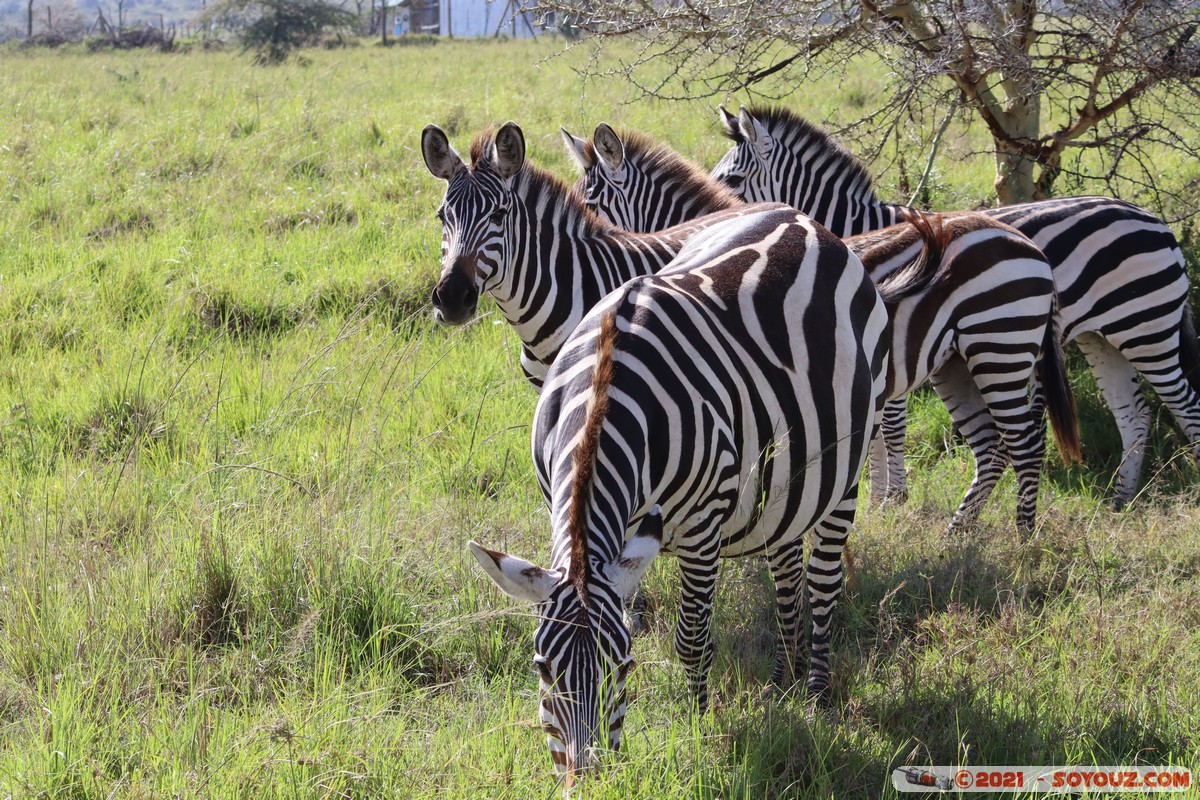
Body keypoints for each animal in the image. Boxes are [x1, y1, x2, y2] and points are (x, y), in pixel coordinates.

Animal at [468, 200, 902, 782]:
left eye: (624, 667)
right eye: (542, 667)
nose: (587, 778)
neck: (605, 388)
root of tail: (802, 218)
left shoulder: (702, 526)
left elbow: (692, 640)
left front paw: (699, 731)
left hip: (847, 467)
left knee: (822, 581)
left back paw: (814, 694)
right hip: (784, 479)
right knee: (787, 569)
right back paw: (783, 681)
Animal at [561, 125, 1080, 532]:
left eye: (591, 202)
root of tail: (1028, 245)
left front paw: (884, 503)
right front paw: (882, 503)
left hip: (1000, 343)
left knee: (1025, 441)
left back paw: (1024, 537)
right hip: (960, 360)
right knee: (994, 446)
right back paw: (961, 532)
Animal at [705, 104, 1200, 506]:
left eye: (732, 179)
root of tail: (1156, 221)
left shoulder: (890, 339)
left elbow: (889, 429)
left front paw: (890, 500)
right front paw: (882, 497)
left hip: (1147, 328)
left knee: (1184, 404)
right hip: (1103, 336)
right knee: (1134, 413)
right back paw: (1121, 498)